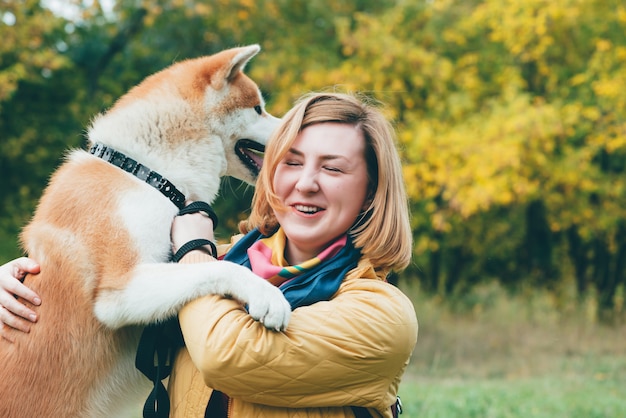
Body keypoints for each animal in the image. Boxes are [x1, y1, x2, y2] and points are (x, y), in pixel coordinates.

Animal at [0, 45, 292, 418]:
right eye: (257, 108)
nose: (289, 127)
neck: (147, 172)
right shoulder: (122, 290)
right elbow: (222, 267)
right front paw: (267, 296)